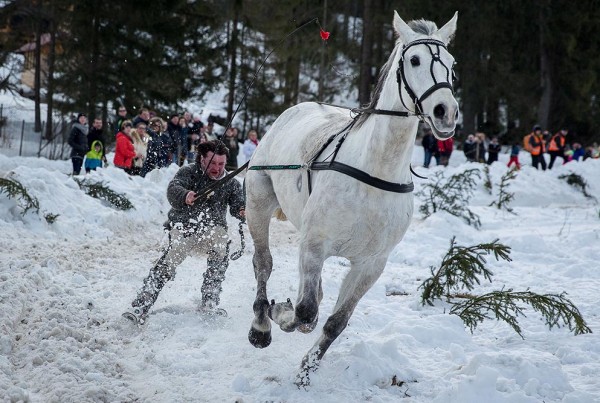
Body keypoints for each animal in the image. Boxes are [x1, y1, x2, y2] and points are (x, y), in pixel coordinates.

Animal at [244, 10, 460, 386]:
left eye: (451, 64)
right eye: (414, 60)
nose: (445, 110)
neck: (375, 173)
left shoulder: (371, 264)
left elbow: (334, 321)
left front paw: (306, 371)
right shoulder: (314, 246)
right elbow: (304, 310)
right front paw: (281, 313)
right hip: (258, 201)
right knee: (263, 264)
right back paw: (260, 325)